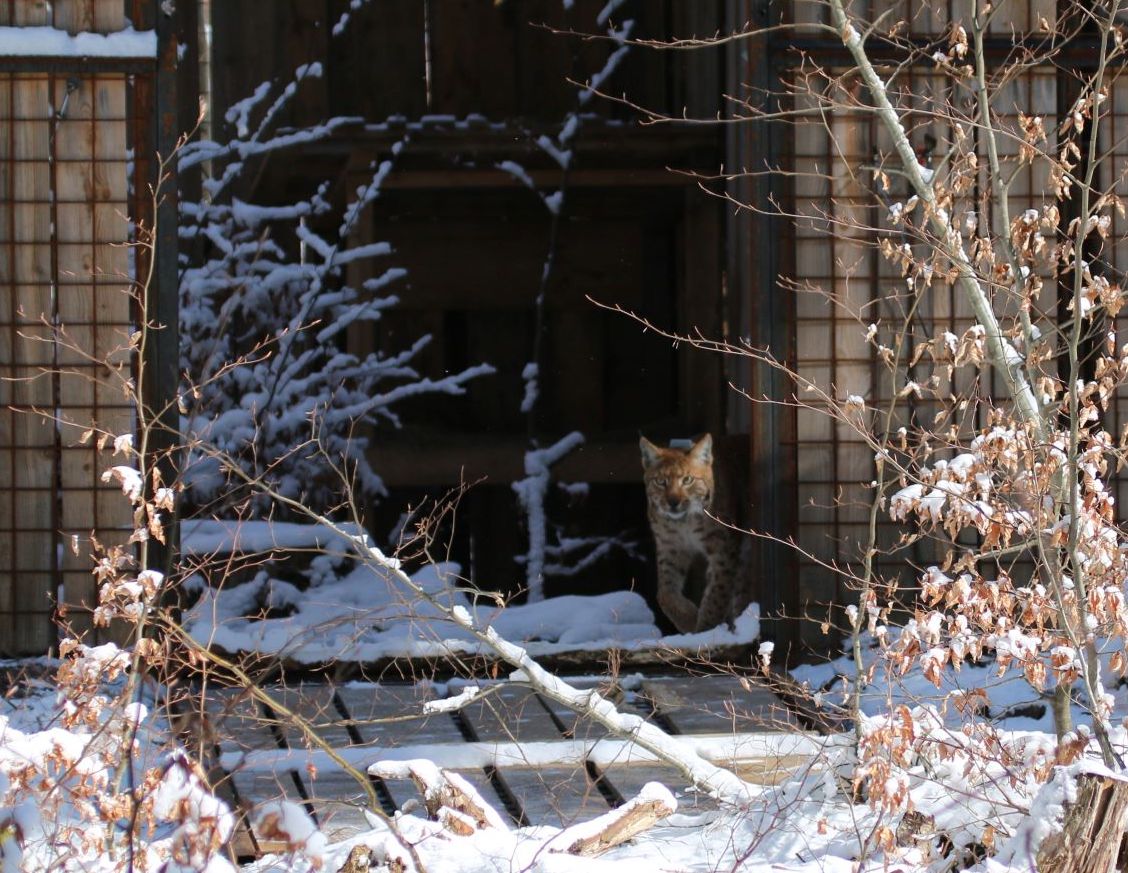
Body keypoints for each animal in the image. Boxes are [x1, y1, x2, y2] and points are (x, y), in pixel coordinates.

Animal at [639, 433, 751, 633]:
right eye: (661, 482)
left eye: (687, 480)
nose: (673, 502)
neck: (684, 523)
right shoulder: (670, 546)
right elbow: (664, 594)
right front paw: (689, 620)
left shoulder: (723, 548)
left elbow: (717, 593)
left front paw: (705, 629)